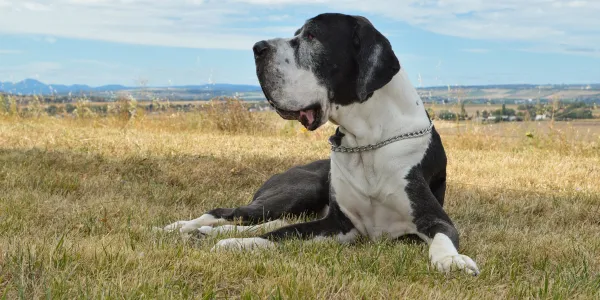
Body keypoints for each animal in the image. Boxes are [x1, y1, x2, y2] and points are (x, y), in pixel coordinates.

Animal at [159, 12, 478, 276]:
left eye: (311, 36)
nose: (257, 47)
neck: (367, 141)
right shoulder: (339, 224)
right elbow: (282, 234)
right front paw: (238, 244)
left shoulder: (431, 218)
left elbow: (442, 237)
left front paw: (450, 260)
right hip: (299, 190)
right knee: (231, 213)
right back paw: (182, 227)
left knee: (266, 221)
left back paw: (204, 232)